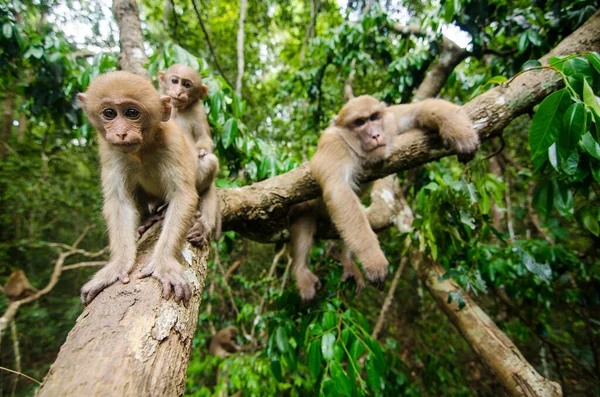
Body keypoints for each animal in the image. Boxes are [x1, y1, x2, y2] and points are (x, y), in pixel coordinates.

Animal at [77, 71, 198, 304]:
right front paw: (117, 266)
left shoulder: (172, 143)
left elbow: (182, 195)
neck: (142, 149)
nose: (121, 133)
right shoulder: (110, 150)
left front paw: (163, 263)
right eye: (109, 113)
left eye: (132, 113)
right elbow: (119, 202)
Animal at [158, 63, 221, 246]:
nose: (178, 92)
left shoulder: (199, 110)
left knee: (210, 163)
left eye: (187, 85)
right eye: (174, 81)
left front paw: (201, 151)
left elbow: (204, 139)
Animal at [290, 95, 478, 300]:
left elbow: (418, 110)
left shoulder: (391, 119)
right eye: (359, 122)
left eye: (374, 117)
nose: (375, 135)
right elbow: (339, 191)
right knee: (306, 220)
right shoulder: (333, 144)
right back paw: (301, 270)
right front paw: (373, 259)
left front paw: (459, 131)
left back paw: (347, 260)